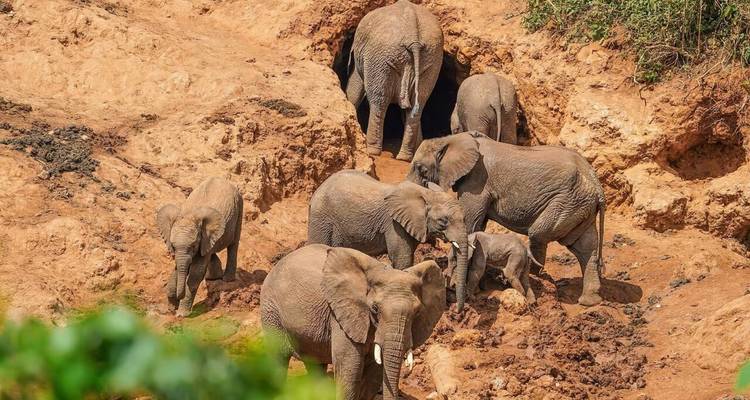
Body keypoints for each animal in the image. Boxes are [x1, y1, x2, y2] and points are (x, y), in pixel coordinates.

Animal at [156, 177, 243, 317]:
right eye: (173, 246)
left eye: (193, 245)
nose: (177, 299)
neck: (189, 216)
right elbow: (177, 268)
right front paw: (171, 309)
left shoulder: (204, 238)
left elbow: (196, 273)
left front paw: (182, 314)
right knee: (211, 251)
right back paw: (213, 277)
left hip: (240, 205)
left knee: (233, 244)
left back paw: (227, 279)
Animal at [260, 244, 445, 400]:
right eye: (375, 309)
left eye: (417, 312)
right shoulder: (341, 314)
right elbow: (350, 368)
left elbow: (374, 372)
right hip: (271, 309)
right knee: (279, 357)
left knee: (315, 364)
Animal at [308, 169, 470, 303]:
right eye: (443, 221)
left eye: (464, 218)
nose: (458, 308)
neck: (426, 194)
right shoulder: (393, 224)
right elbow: (402, 258)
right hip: (321, 219)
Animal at [346, 0, 444, 161]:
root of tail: (413, 37)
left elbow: (355, 87)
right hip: (432, 59)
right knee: (418, 104)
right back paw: (405, 157)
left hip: (380, 57)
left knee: (378, 101)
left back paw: (372, 151)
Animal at [407, 131, 606, 309]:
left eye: (420, 168)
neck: (450, 139)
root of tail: (597, 184)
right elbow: (478, 224)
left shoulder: (477, 182)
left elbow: (470, 222)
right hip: (580, 207)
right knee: (585, 247)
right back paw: (589, 301)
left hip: (567, 202)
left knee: (539, 234)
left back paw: (535, 278)